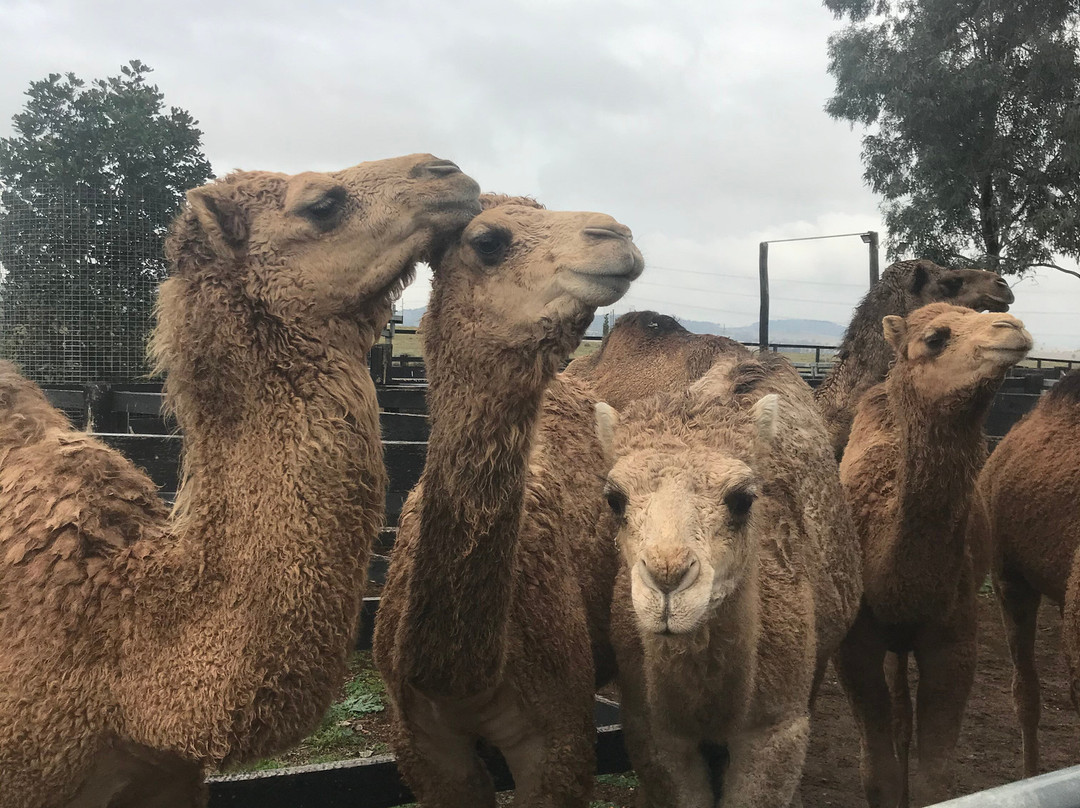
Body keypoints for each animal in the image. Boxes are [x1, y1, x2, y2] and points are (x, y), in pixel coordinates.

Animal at [836, 303, 1031, 807]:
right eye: (936, 337)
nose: (1013, 328)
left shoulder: (955, 641)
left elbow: (934, 779)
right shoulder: (855, 646)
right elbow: (876, 773)